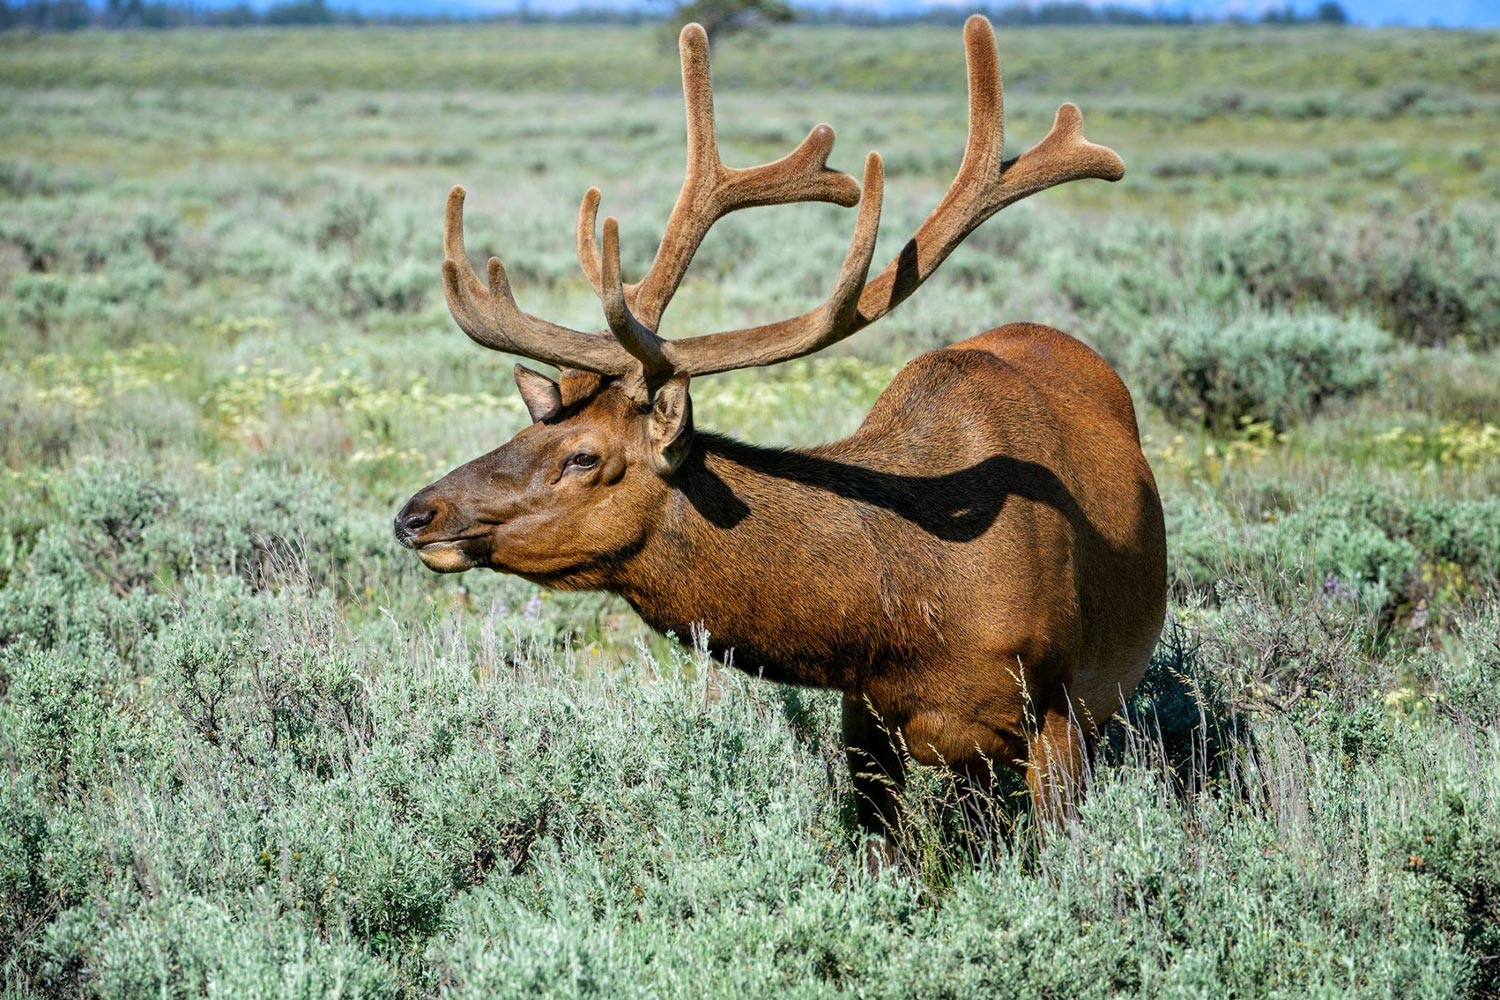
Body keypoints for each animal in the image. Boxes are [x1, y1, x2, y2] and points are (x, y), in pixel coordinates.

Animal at [399, 15, 1170, 851]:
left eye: (584, 456)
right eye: (529, 425)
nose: (416, 513)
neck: (909, 613)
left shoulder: (1058, 708)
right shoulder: (863, 712)